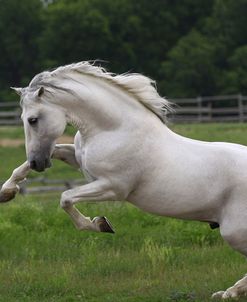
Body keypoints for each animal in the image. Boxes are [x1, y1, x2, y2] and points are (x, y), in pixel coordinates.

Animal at [1, 60, 247, 298]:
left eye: (33, 120)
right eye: (23, 118)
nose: (37, 162)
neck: (114, 129)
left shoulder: (113, 187)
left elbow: (66, 198)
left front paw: (101, 224)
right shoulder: (78, 160)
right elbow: (44, 158)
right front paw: (7, 192)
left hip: (234, 231)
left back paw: (230, 292)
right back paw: (229, 292)